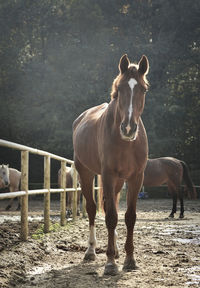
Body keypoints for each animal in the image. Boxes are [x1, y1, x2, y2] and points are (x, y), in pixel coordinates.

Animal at [72, 53, 149, 274]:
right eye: (119, 89)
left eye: (143, 89)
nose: (129, 128)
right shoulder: (107, 175)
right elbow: (111, 217)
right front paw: (110, 263)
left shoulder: (135, 178)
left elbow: (129, 216)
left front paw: (129, 259)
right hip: (86, 173)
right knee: (92, 208)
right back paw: (91, 250)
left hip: (118, 182)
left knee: (109, 204)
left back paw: (114, 250)